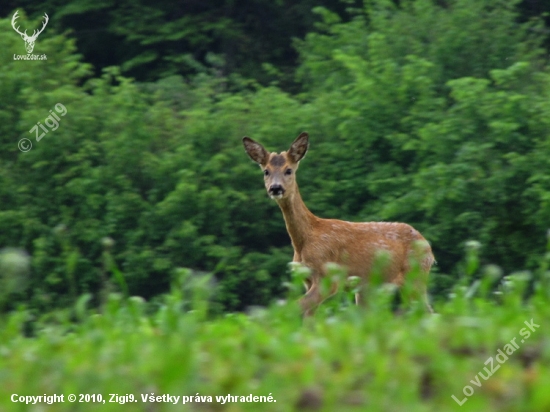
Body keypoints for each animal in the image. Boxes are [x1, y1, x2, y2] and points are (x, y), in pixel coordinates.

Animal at [243, 132, 436, 316]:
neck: (305, 239)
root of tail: (428, 247)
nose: (275, 188)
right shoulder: (307, 279)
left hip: (415, 275)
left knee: (428, 312)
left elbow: (290, 309)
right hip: (371, 287)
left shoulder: (328, 277)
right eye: (266, 171)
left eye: (288, 170)